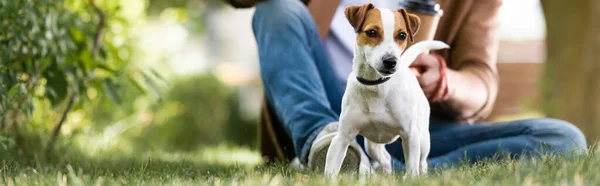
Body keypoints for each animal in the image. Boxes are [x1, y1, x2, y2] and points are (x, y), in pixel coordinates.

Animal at [324, 3, 450, 177]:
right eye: (371, 32)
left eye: (402, 35)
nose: (391, 61)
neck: (376, 85)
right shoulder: (342, 138)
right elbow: (331, 169)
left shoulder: (410, 135)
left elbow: (412, 166)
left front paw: (411, 178)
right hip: (372, 145)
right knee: (385, 159)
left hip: (423, 138)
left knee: (422, 161)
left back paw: (423, 174)